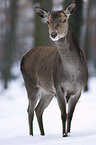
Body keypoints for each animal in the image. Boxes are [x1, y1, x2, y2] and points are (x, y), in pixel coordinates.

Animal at [20, 1, 88, 137]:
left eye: (64, 19)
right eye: (48, 21)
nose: (53, 34)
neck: (72, 74)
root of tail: (24, 56)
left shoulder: (79, 90)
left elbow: (70, 115)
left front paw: (68, 133)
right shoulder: (59, 87)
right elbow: (63, 115)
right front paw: (64, 135)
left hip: (47, 91)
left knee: (38, 109)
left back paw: (43, 134)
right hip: (31, 84)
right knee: (30, 110)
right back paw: (31, 135)